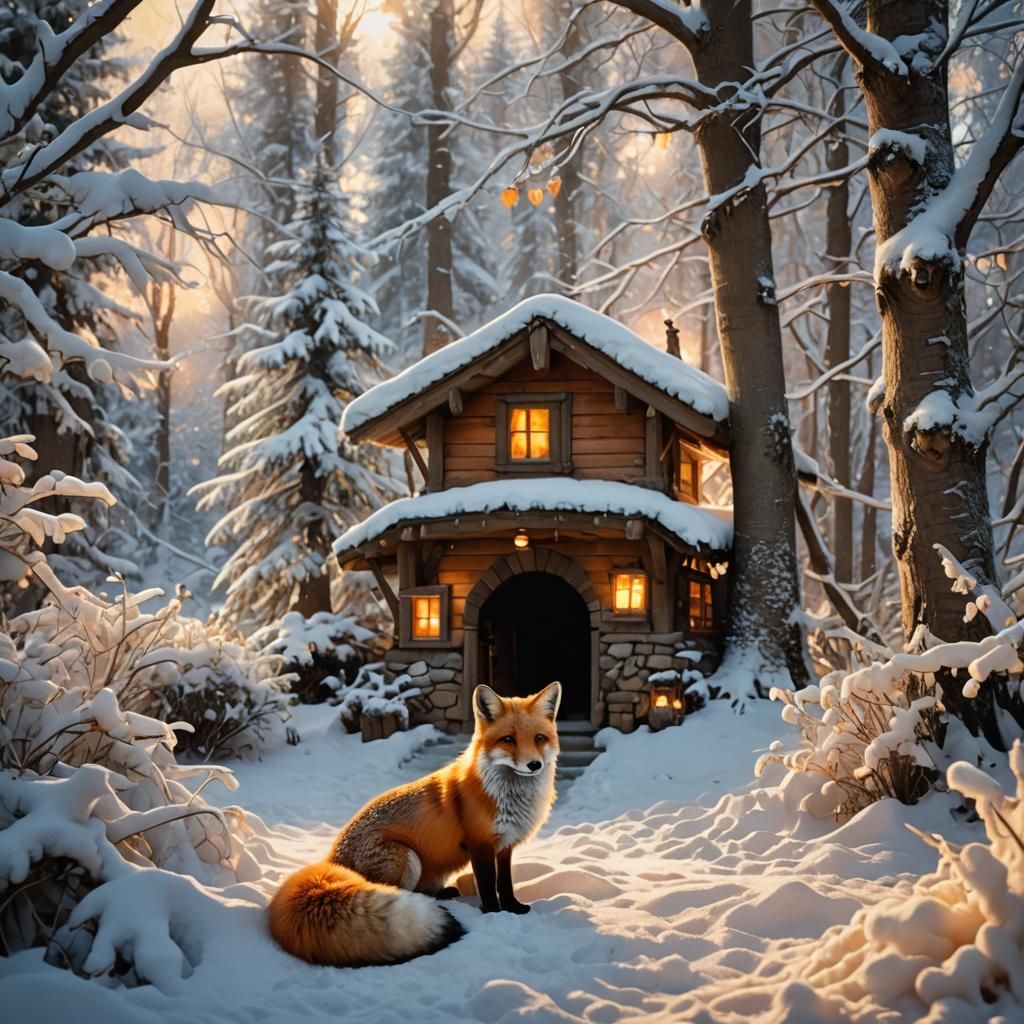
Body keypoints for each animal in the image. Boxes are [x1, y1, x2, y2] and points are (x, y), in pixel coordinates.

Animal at [268, 680, 562, 967]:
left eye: (539, 738)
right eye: (508, 739)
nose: (534, 765)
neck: (510, 798)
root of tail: (331, 859)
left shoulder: (505, 845)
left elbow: (505, 883)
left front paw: (513, 908)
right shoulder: (480, 845)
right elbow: (489, 886)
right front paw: (493, 914)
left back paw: (443, 893)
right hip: (407, 859)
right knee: (398, 894)